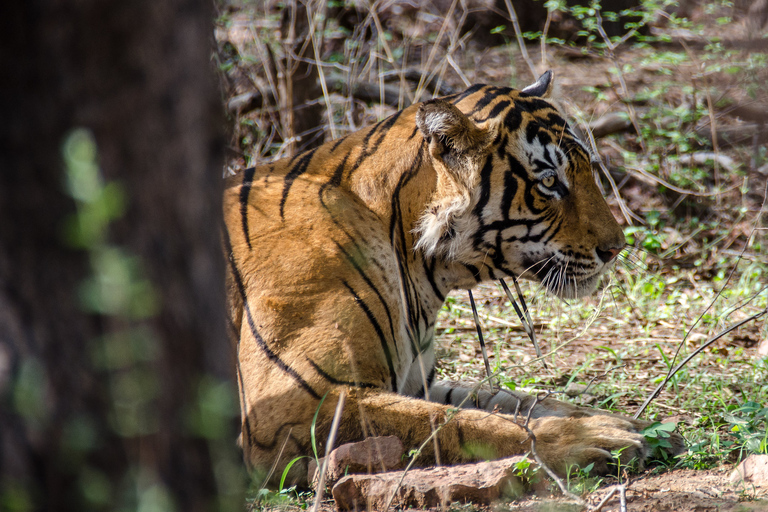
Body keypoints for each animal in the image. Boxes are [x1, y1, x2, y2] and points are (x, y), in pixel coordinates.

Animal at [224, 71, 684, 484]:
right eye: (550, 182)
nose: (616, 248)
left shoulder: (416, 382)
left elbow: (513, 399)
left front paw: (624, 422)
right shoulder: (293, 403)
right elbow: (459, 422)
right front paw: (590, 438)